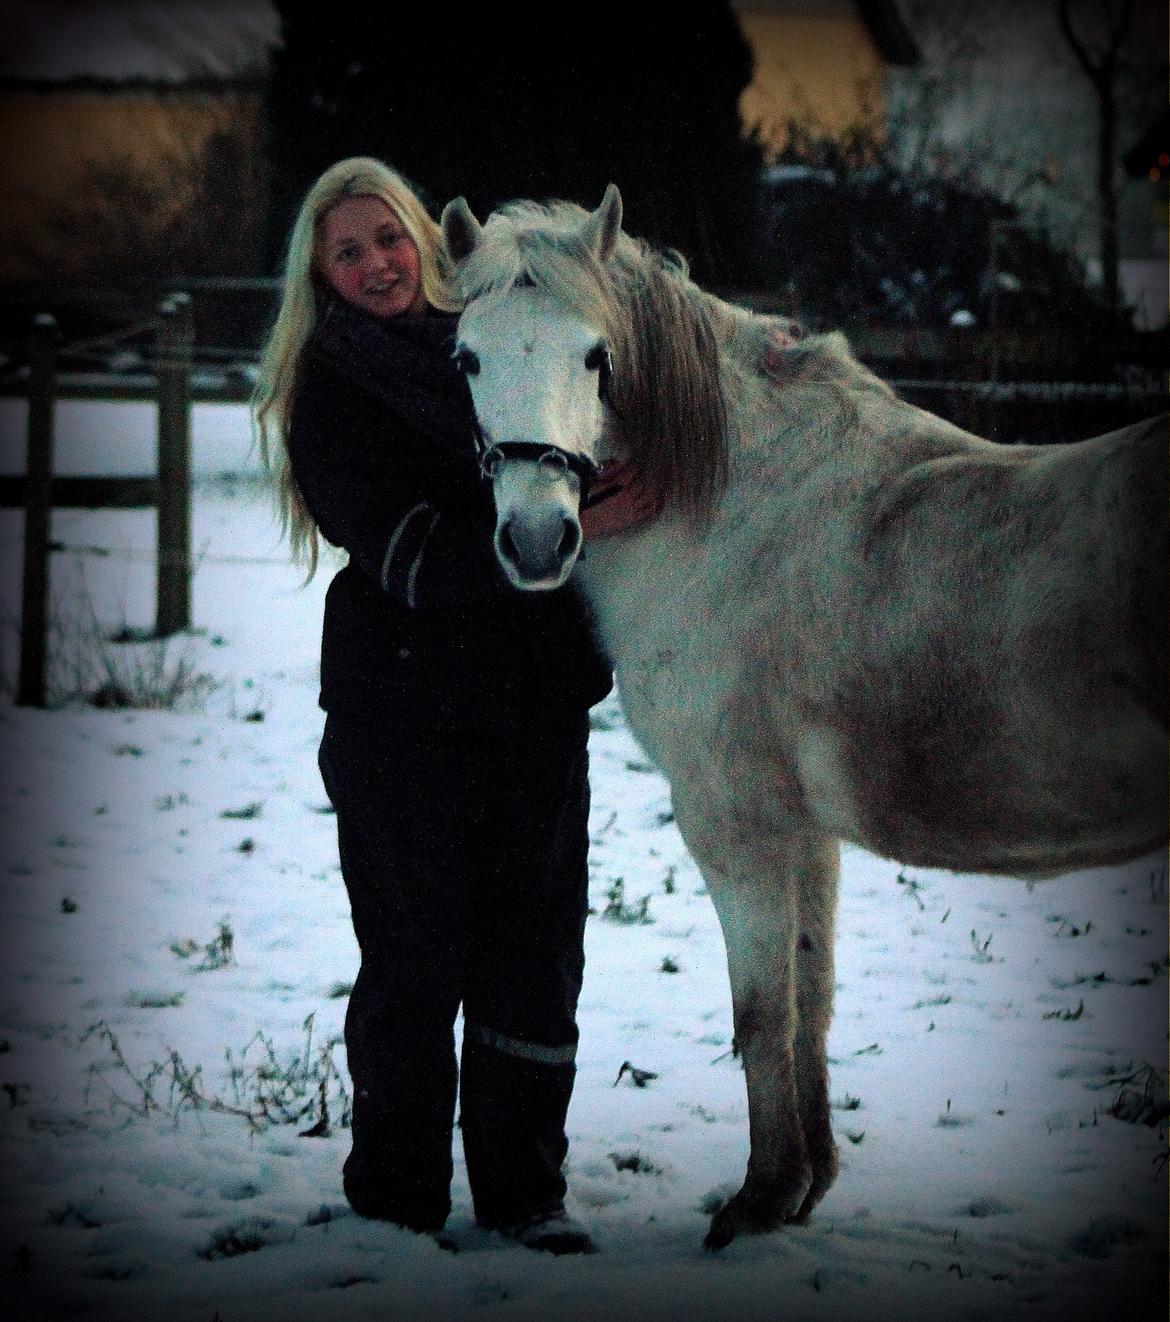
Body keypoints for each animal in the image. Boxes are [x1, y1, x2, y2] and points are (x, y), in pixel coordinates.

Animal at [438, 184, 1169, 1249]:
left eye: (596, 355)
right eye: (468, 357)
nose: (537, 539)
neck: (729, 507)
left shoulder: (736, 828)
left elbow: (762, 1014)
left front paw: (756, 1200)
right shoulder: (809, 836)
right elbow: (811, 1002)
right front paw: (807, 1186)